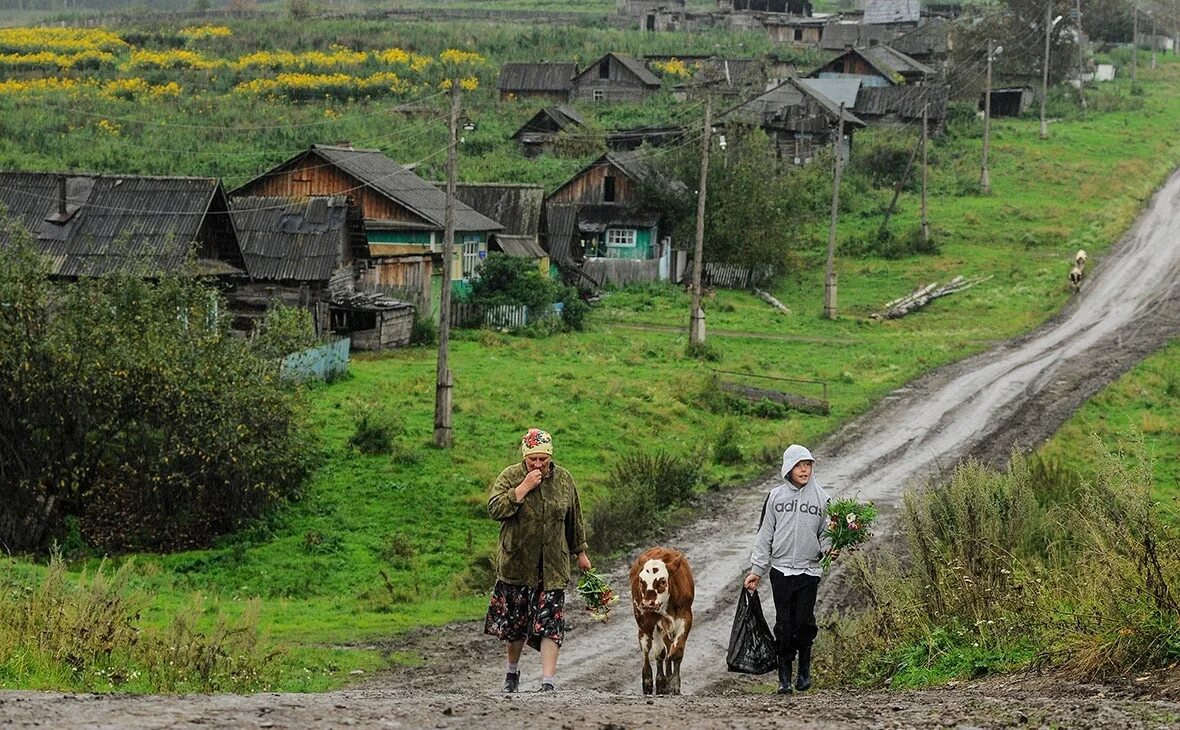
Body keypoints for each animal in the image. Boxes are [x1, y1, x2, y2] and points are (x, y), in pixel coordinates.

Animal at [627, 547, 689, 698]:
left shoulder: (686, 616)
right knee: (647, 651)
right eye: (641, 581)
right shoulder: (651, 622)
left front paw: (674, 684)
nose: (647, 603)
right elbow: (659, 653)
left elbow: (676, 652)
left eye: (662, 581)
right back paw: (649, 681)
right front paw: (662, 683)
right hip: (643, 625)